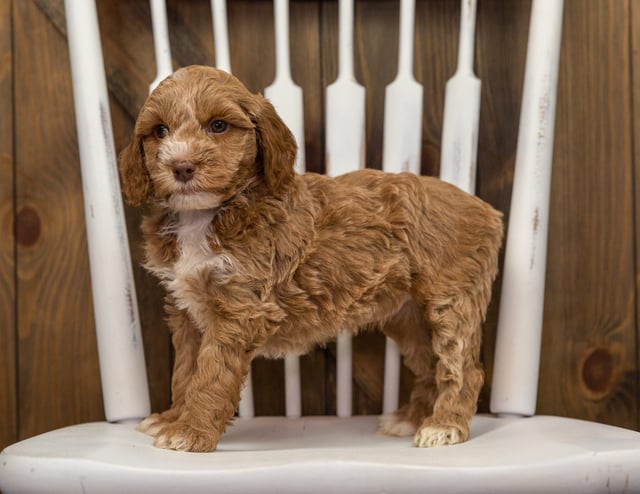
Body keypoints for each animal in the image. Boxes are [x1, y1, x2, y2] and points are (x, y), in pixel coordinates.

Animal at [117, 64, 502, 452]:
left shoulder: (239, 310)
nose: (181, 167)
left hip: (451, 301)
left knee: (462, 367)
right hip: (408, 315)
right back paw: (411, 418)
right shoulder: (186, 311)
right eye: (159, 131)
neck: (205, 214)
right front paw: (172, 418)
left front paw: (190, 431)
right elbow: (184, 372)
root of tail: (486, 209)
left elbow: (211, 375)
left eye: (219, 126)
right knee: (428, 365)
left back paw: (444, 425)